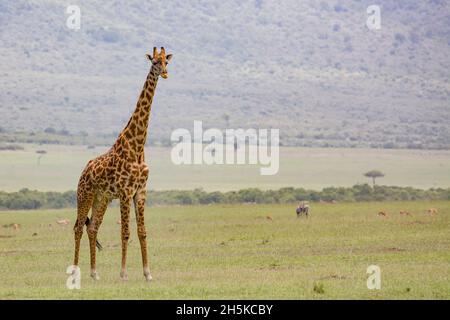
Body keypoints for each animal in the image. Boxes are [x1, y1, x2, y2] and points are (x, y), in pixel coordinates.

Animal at [73, 46, 173, 282]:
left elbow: (142, 232)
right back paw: (74, 271)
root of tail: (83, 171)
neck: (137, 146)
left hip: (102, 198)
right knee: (78, 228)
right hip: (85, 195)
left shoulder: (140, 191)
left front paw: (148, 273)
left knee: (93, 228)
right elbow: (125, 232)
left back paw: (94, 273)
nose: (165, 74)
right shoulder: (126, 192)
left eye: (167, 62)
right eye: (154, 62)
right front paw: (124, 273)